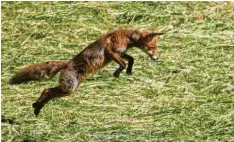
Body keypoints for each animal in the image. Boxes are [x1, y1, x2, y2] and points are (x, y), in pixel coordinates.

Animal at [8, 28, 163, 115]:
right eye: (152, 47)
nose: (157, 58)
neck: (126, 36)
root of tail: (67, 64)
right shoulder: (111, 52)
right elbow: (123, 63)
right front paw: (118, 72)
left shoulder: (120, 53)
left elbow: (131, 59)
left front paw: (128, 71)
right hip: (69, 88)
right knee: (47, 90)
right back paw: (37, 106)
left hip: (68, 89)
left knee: (48, 91)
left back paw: (37, 107)